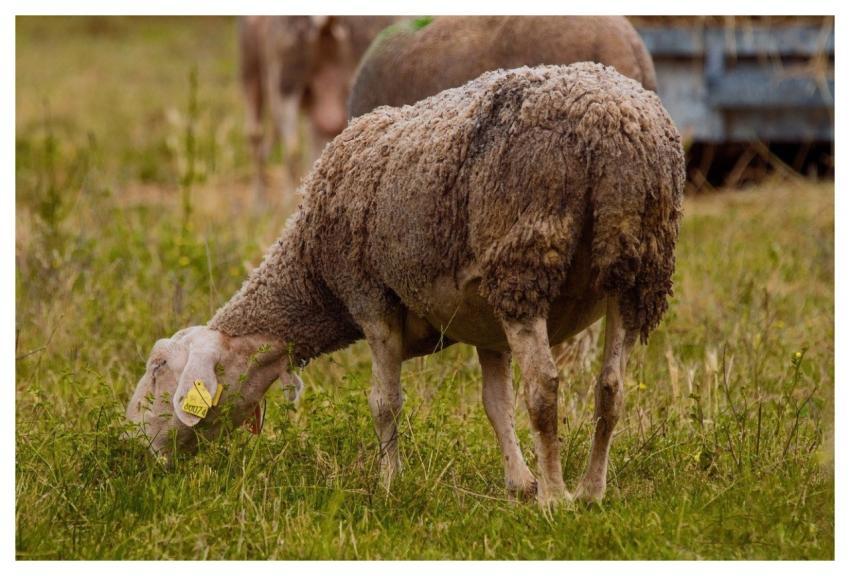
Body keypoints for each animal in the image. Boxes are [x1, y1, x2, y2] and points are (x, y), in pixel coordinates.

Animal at [126, 63, 685, 505]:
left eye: (158, 367)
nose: (129, 448)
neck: (310, 273)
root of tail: (615, 130)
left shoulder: (369, 295)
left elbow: (384, 402)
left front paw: (389, 484)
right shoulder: (486, 323)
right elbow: (496, 404)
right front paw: (518, 484)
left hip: (525, 258)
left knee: (545, 387)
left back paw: (557, 499)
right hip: (639, 272)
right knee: (610, 387)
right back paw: (591, 492)